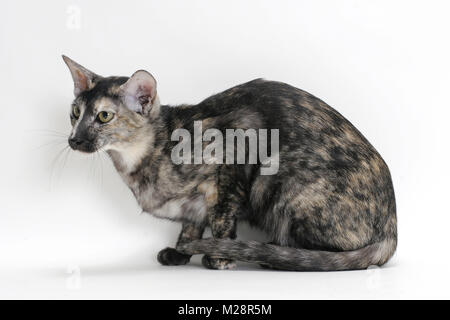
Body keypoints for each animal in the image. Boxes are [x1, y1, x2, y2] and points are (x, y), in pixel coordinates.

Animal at [62, 55, 398, 270]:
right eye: (75, 112)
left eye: (104, 116)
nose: (74, 139)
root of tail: (391, 229)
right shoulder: (193, 205)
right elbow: (191, 223)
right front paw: (180, 252)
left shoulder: (237, 146)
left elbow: (222, 217)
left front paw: (220, 257)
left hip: (283, 182)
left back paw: (276, 255)